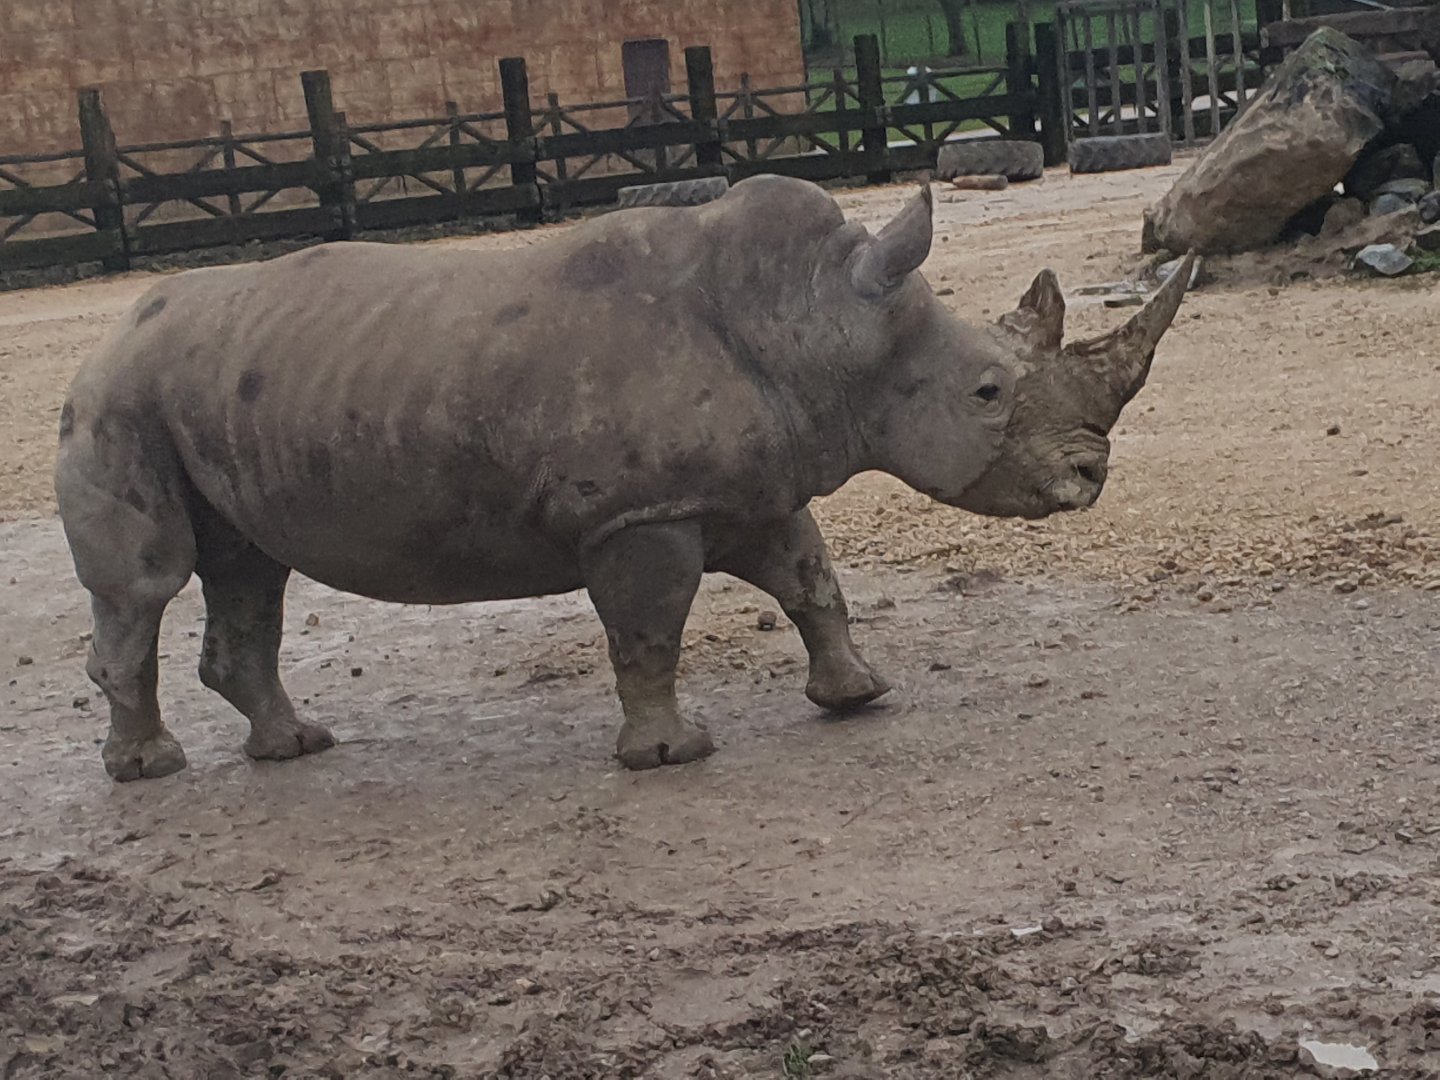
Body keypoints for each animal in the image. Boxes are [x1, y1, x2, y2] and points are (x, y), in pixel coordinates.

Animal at [55, 175, 1194, 782]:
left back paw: (294, 748)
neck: (822, 321)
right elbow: (650, 628)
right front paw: (670, 755)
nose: (1091, 473)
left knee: (250, 567)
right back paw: (152, 771)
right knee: (151, 582)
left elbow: (813, 581)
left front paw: (857, 696)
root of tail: (111, 326)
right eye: (987, 392)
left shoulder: (750, 488)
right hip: (118, 397)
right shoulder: (640, 513)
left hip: (202, 387)